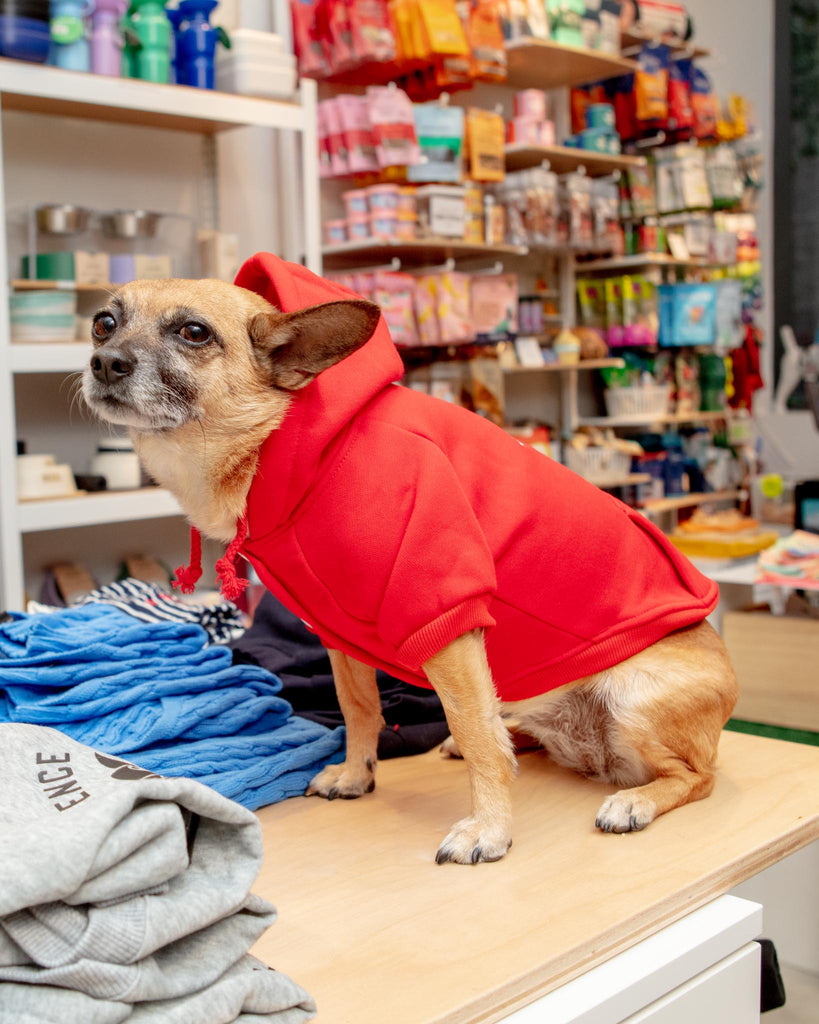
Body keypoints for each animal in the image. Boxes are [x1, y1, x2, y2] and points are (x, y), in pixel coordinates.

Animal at [84, 253, 741, 864]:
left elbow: (475, 735)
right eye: (103, 323)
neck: (281, 448)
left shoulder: (447, 623)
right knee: (525, 738)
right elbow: (360, 710)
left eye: (194, 333)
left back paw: (634, 800)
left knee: (697, 776)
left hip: (635, 701)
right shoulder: (337, 636)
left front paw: (490, 829)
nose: (104, 362)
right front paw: (358, 773)